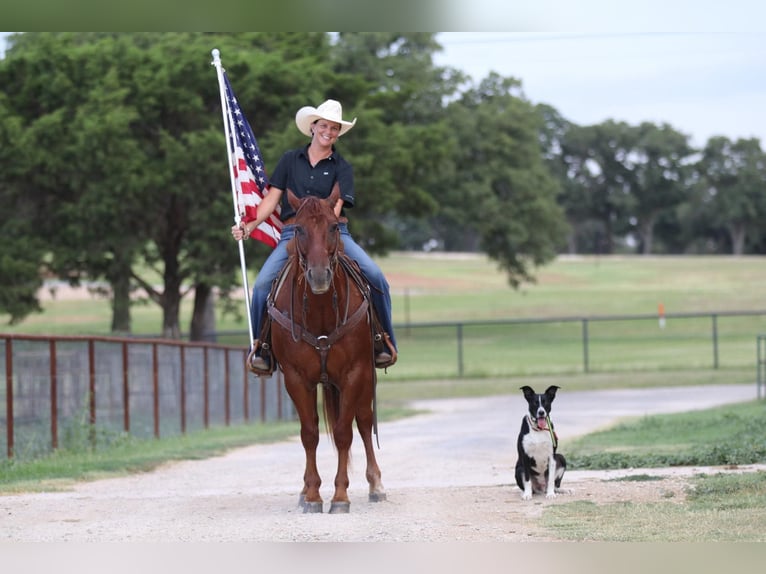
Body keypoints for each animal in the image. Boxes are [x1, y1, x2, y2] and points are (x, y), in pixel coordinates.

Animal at [268, 187, 388, 516]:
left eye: (334, 226)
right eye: (298, 228)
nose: (319, 276)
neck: (321, 312)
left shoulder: (354, 374)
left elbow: (346, 432)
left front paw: (340, 496)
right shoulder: (296, 379)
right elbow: (309, 434)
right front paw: (311, 495)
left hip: (363, 381)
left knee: (364, 422)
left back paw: (376, 485)